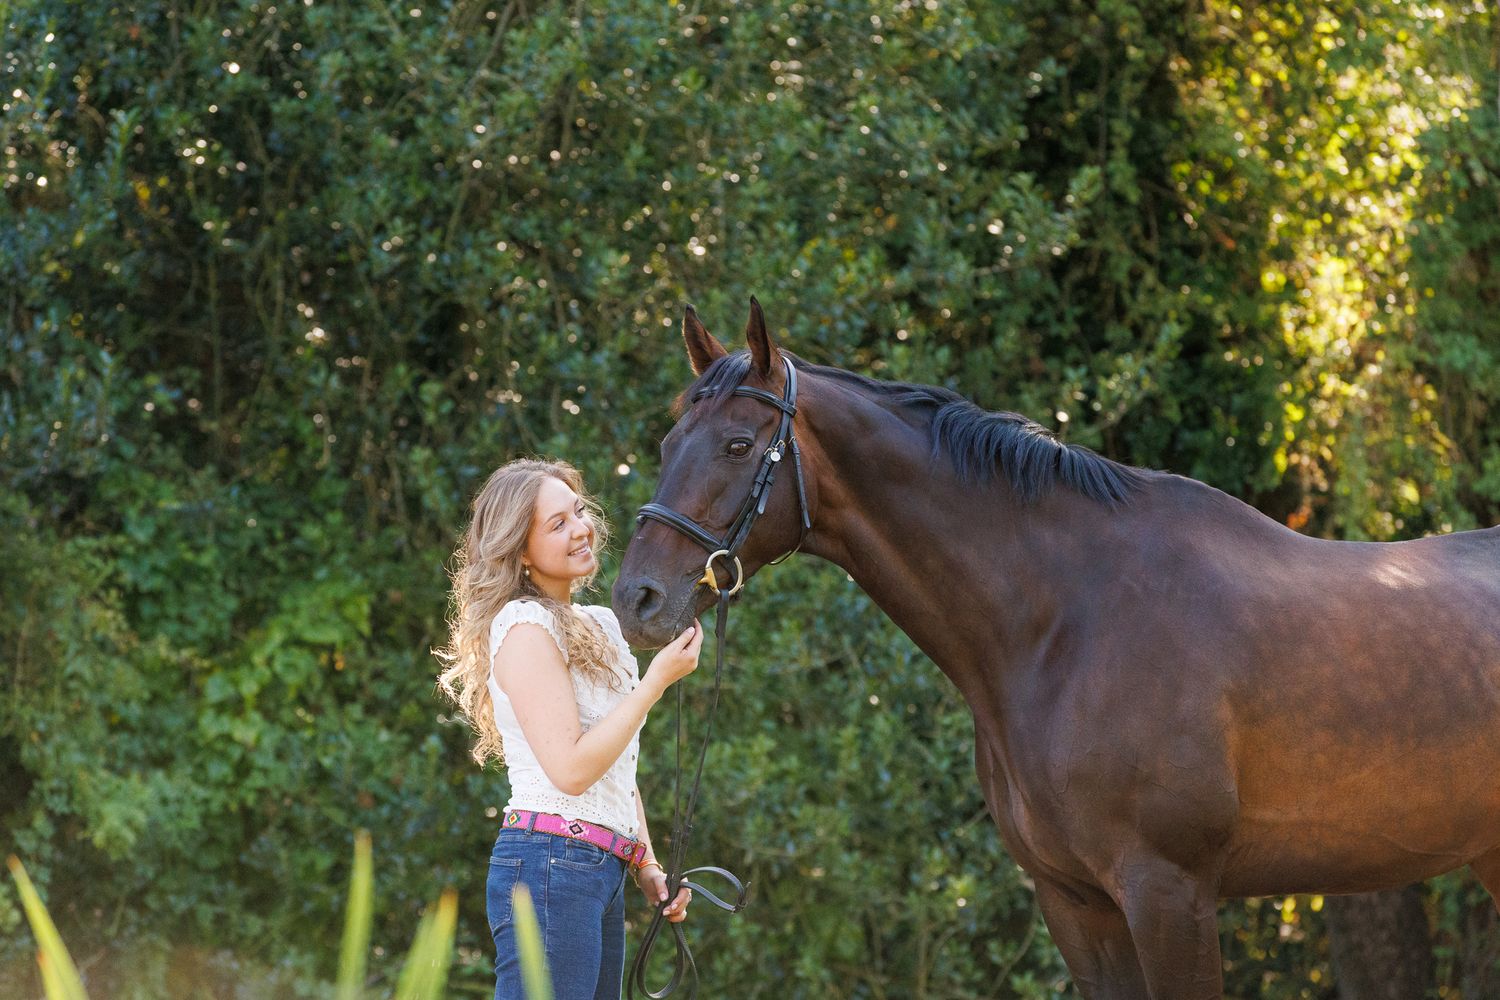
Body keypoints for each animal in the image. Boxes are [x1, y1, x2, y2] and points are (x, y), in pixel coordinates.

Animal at [610, 299, 1500, 999]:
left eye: (737, 444)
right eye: (665, 444)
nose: (637, 599)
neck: (1066, 624)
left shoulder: (1169, 893)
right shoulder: (1075, 902)